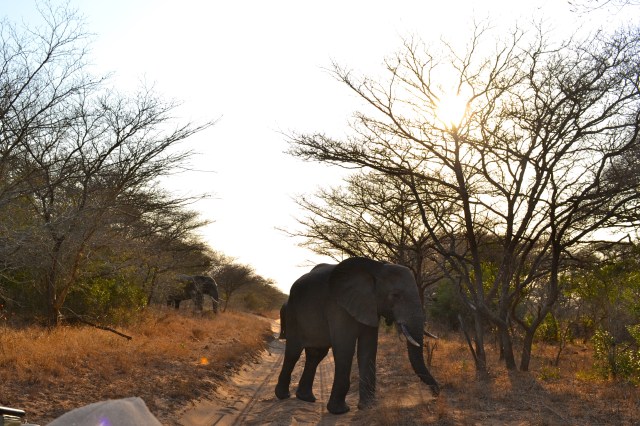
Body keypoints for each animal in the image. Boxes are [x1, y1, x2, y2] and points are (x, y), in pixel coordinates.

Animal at [275, 257, 439, 415]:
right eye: (395, 295)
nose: (435, 395)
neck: (376, 269)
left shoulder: (370, 307)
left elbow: (368, 349)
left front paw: (368, 407)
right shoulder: (338, 306)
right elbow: (345, 349)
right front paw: (339, 411)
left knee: (316, 355)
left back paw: (306, 398)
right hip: (292, 314)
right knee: (293, 353)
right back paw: (283, 396)